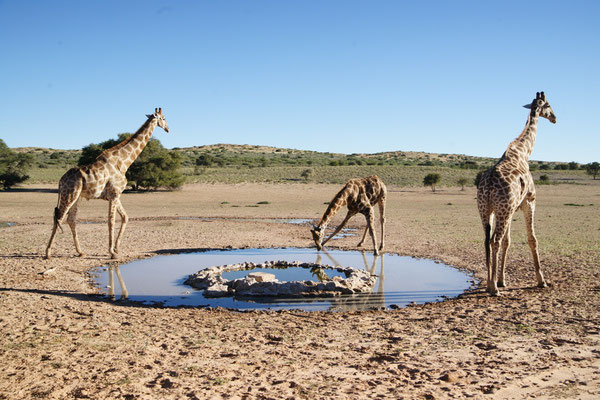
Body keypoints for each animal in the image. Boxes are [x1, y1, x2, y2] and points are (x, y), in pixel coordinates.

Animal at [44, 108, 169, 260]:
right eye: (163, 118)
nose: (168, 129)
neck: (123, 162)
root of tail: (60, 180)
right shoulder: (114, 194)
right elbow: (111, 221)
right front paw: (111, 252)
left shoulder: (116, 195)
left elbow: (125, 217)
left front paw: (116, 248)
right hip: (69, 194)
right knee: (60, 218)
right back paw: (48, 253)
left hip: (77, 197)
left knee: (71, 220)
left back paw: (80, 252)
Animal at [478, 92, 556, 296]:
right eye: (549, 105)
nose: (555, 118)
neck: (523, 152)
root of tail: (488, 185)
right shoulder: (529, 202)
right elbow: (532, 239)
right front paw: (541, 280)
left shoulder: (511, 208)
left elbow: (508, 241)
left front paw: (502, 280)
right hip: (503, 210)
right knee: (494, 241)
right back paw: (493, 288)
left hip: (487, 210)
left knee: (487, 240)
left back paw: (490, 283)